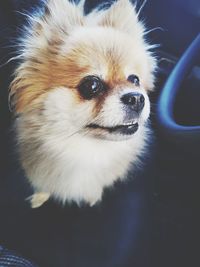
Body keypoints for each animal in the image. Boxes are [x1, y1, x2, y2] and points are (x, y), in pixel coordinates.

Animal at [9, 0, 156, 208]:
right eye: (92, 85)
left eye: (134, 80)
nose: (136, 98)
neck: (87, 151)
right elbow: (44, 187)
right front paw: (39, 197)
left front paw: (92, 197)